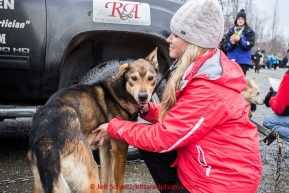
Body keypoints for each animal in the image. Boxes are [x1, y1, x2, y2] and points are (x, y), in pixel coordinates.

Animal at [27, 47, 158, 192]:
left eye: (151, 78)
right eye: (133, 78)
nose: (143, 97)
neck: (121, 92)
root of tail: (46, 136)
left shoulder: (106, 149)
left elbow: (107, 180)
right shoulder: (120, 149)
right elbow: (118, 185)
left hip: (41, 184)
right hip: (90, 174)